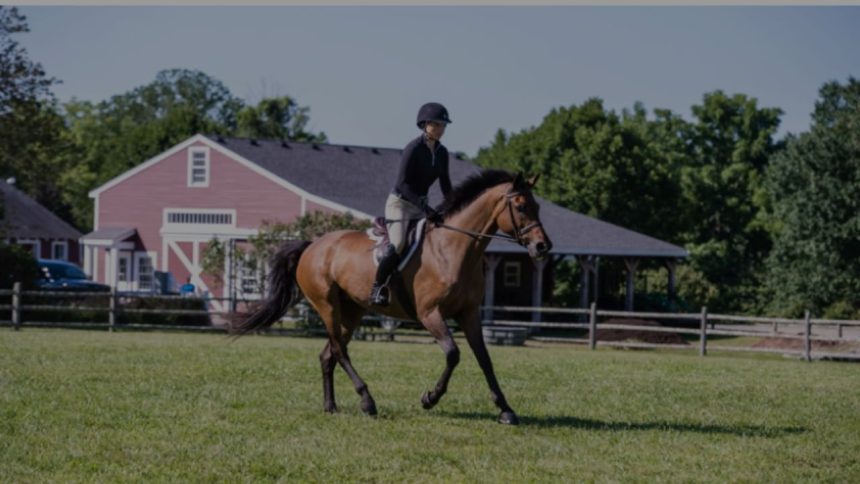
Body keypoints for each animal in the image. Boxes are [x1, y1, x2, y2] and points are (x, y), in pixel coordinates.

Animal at [234, 169, 552, 425]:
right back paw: (367, 401)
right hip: (327, 306)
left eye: (536, 205)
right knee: (339, 350)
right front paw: (430, 398)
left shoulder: (469, 313)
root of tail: (314, 245)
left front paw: (506, 410)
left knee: (328, 354)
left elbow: (484, 359)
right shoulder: (430, 314)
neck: (454, 249)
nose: (542, 247)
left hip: (352, 310)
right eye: (521, 206)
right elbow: (453, 353)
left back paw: (331, 406)